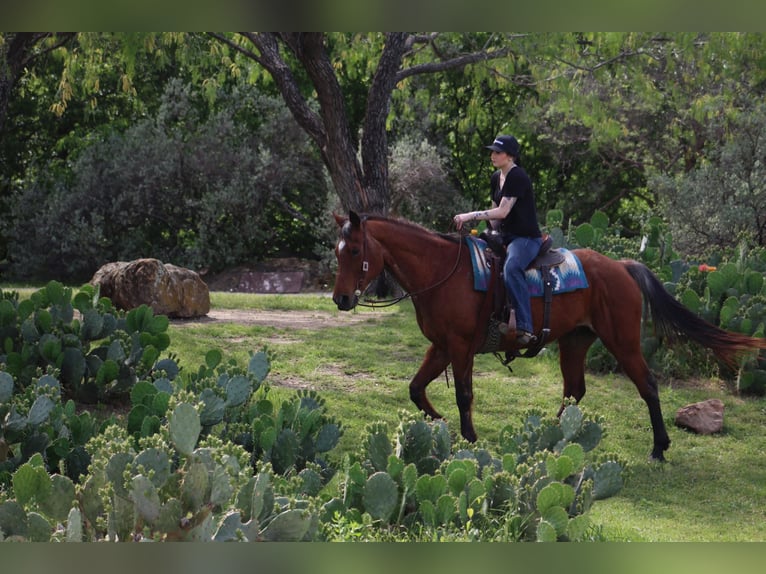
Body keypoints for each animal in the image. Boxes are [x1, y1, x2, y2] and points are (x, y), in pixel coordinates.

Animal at [331, 211, 766, 461]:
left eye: (353, 250)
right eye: (336, 250)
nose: (341, 298)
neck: (443, 271)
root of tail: (622, 266)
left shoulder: (460, 346)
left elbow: (463, 395)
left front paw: (469, 437)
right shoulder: (440, 346)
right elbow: (416, 388)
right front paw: (439, 424)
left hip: (622, 342)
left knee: (647, 385)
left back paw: (659, 447)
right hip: (575, 341)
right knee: (575, 390)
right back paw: (552, 438)